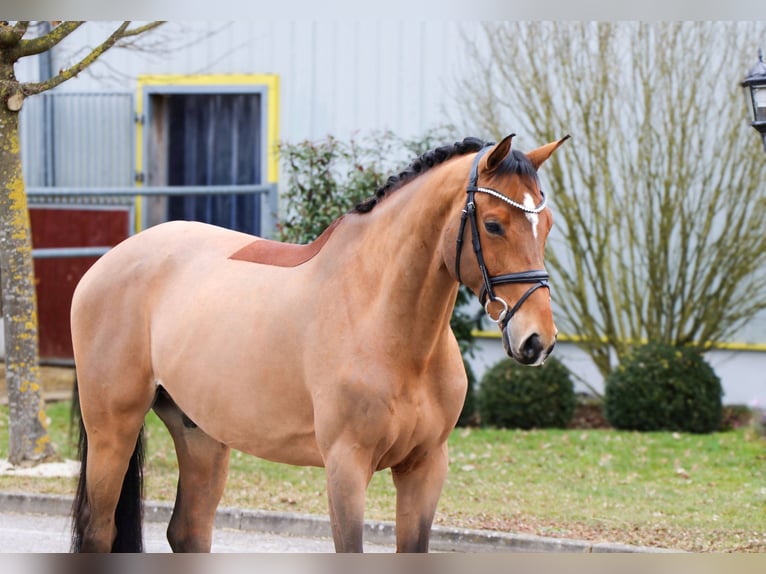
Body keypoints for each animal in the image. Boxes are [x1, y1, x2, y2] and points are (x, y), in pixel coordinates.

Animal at [69, 133, 568, 553]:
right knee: (100, 531)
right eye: (494, 225)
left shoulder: (425, 467)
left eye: (546, 225)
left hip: (202, 435)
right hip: (113, 429)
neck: (386, 325)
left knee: (188, 531)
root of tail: (107, 262)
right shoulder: (346, 468)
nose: (536, 340)